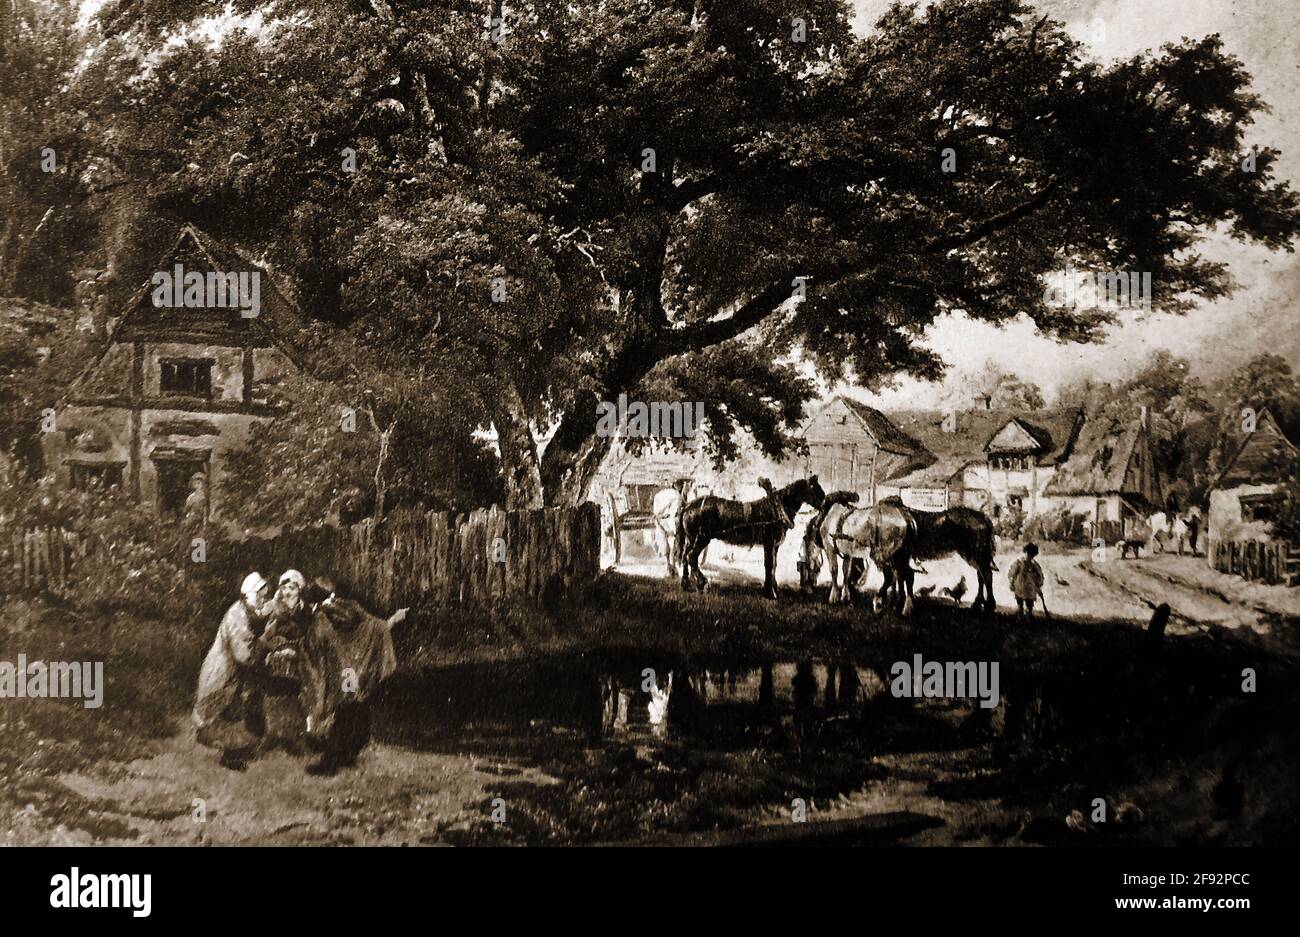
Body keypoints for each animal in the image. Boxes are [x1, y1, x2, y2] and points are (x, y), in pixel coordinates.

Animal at [676, 475, 826, 600]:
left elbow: (772, 565)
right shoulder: (769, 543)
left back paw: (686, 584)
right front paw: (770, 592)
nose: (824, 505)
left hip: (692, 539)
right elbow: (769, 565)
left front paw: (772, 588)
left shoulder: (773, 545)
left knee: (685, 557)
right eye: (814, 489)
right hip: (702, 538)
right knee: (691, 557)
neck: (776, 509)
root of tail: (688, 505)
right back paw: (702, 584)